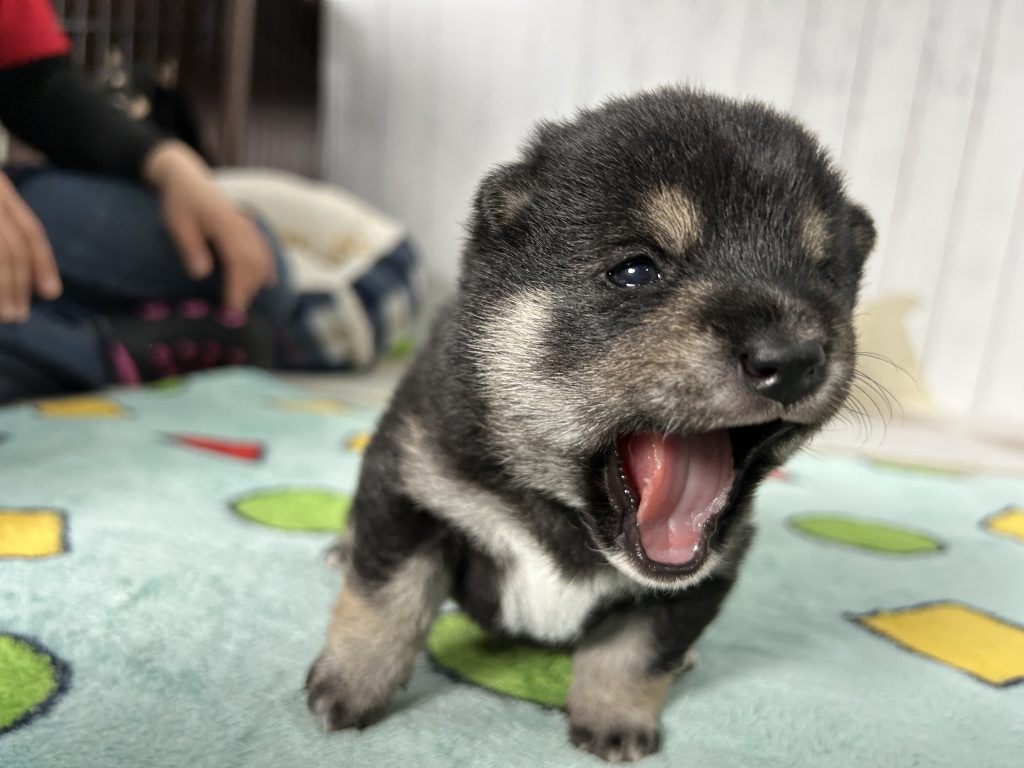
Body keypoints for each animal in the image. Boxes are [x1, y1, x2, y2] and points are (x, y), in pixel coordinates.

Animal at [306, 87, 875, 762]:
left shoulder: (714, 565)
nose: (791, 359)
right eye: (635, 271)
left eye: (825, 279)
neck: (568, 517)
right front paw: (349, 684)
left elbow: (638, 648)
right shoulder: (411, 486)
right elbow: (385, 598)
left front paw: (614, 719)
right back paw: (341, 548)